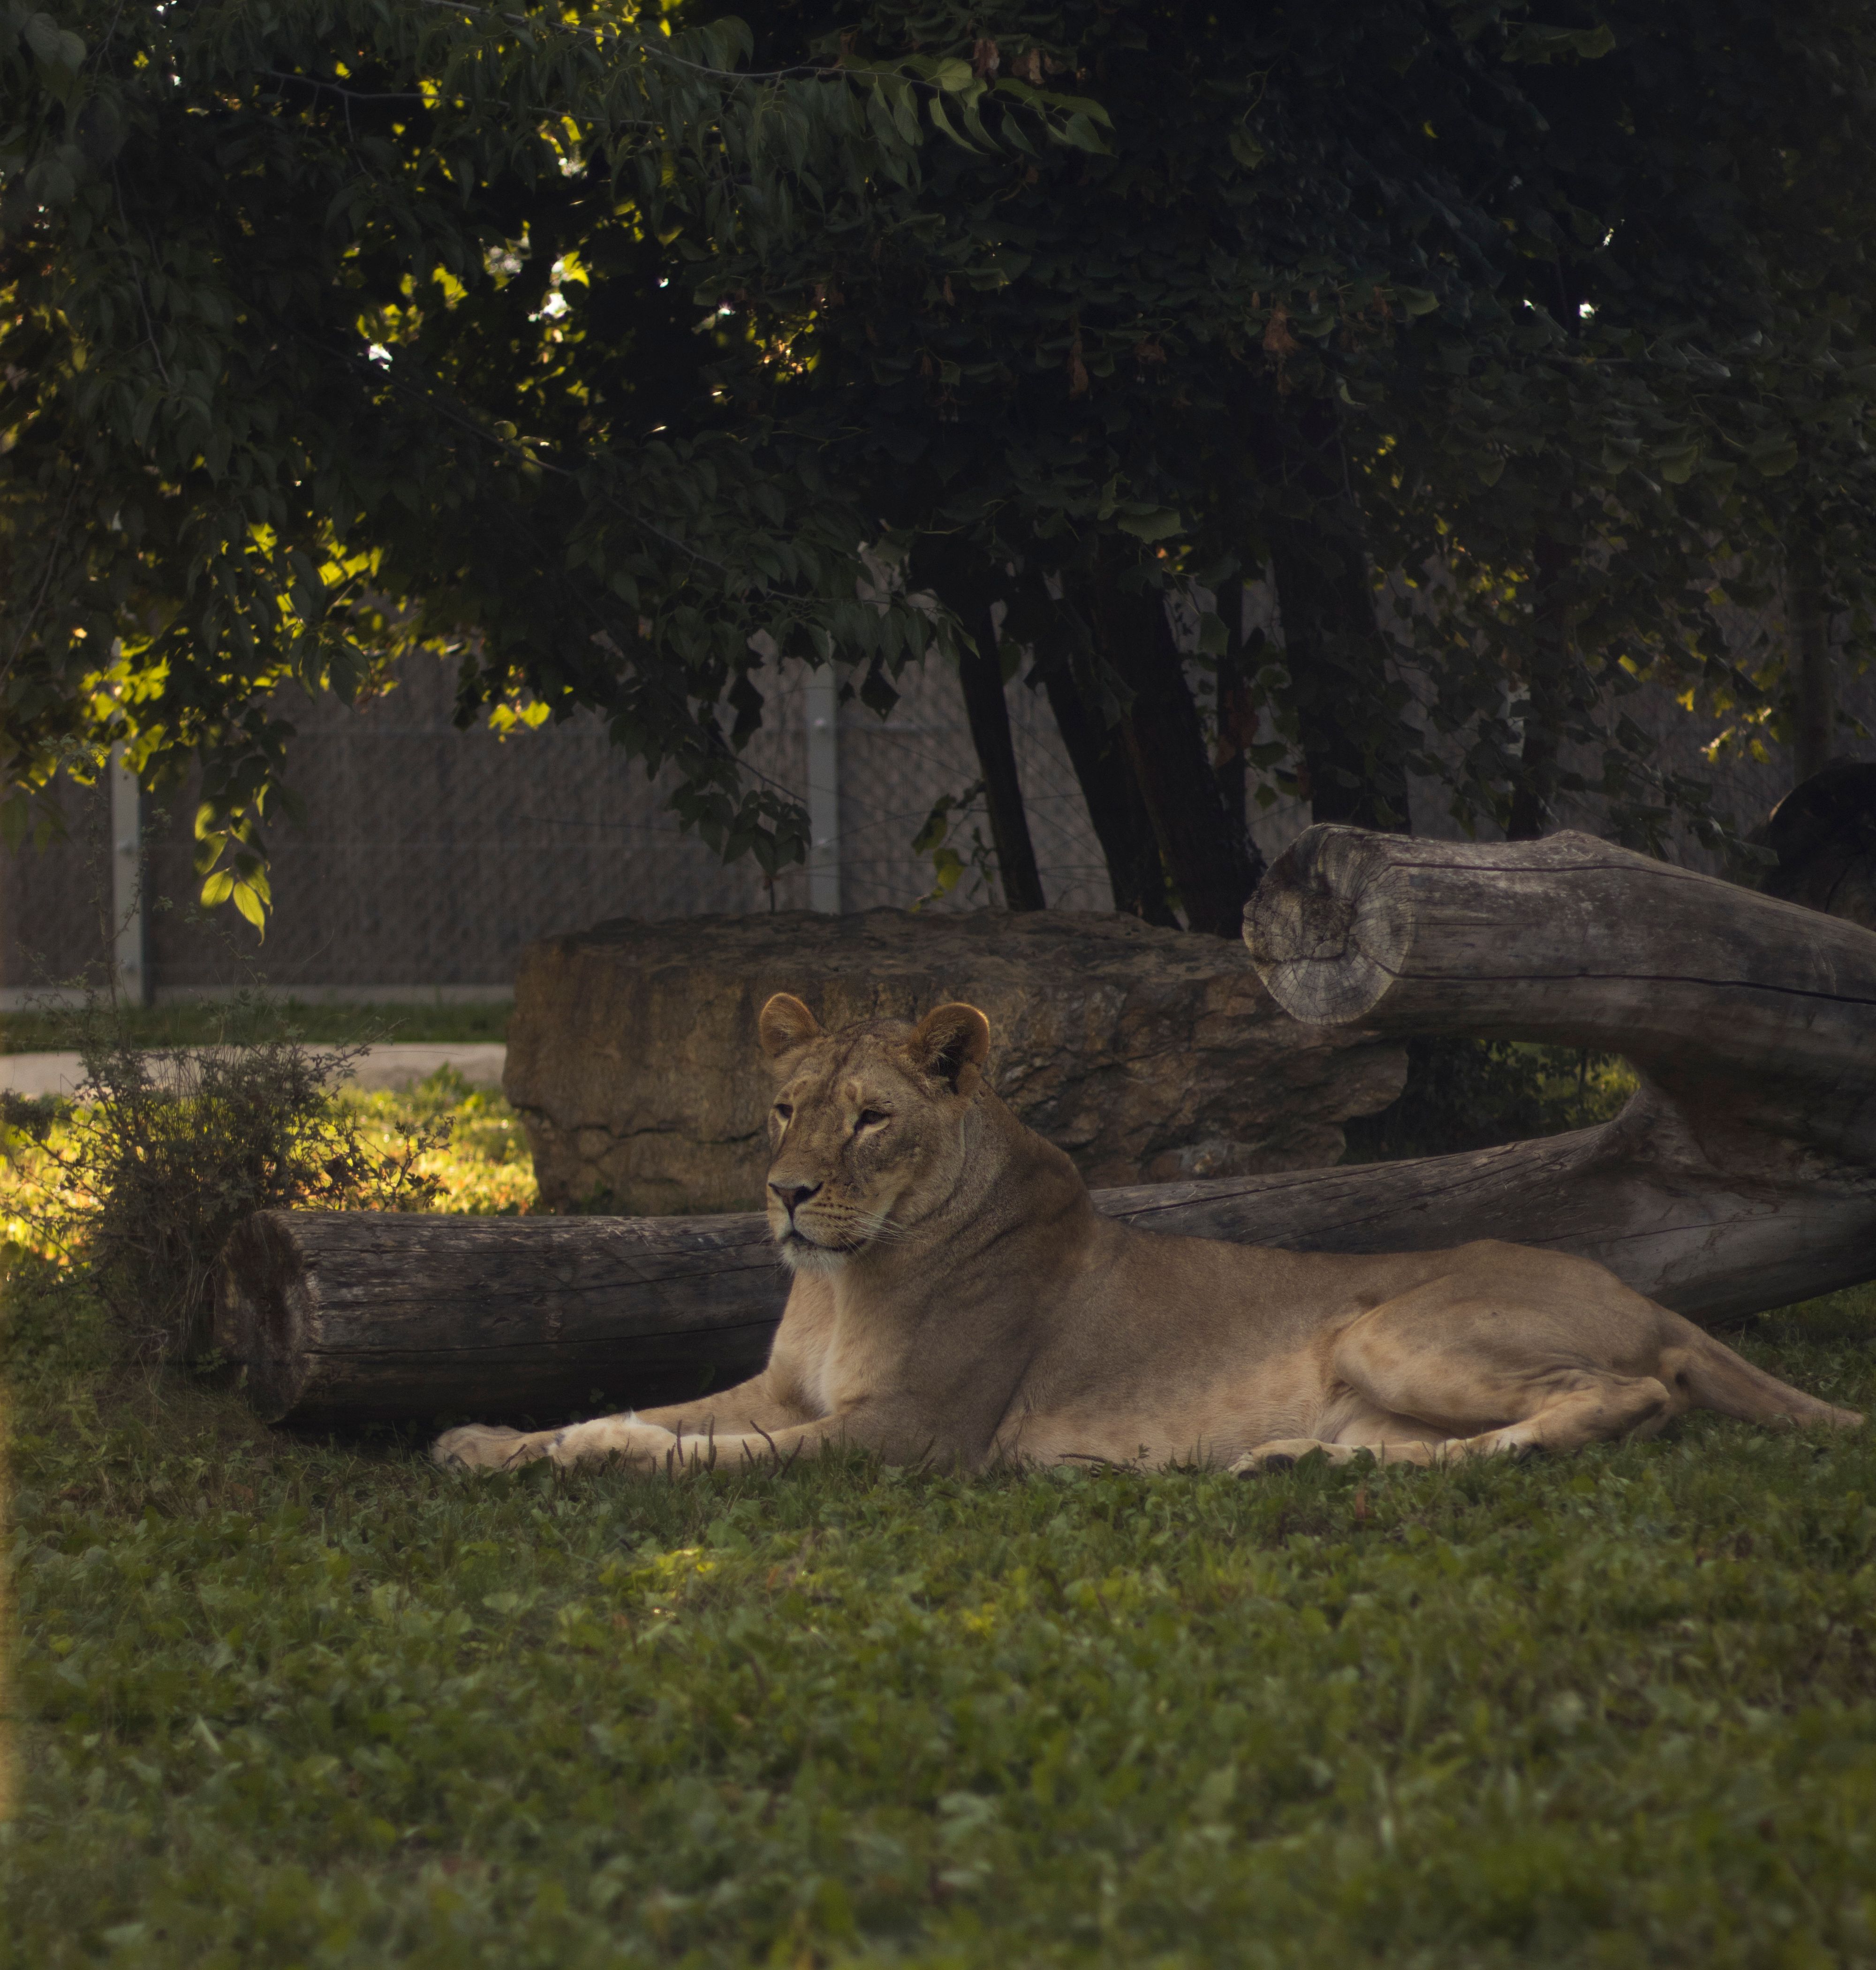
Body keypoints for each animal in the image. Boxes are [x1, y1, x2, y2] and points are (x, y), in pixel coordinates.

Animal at [434, 993, 1861, 1477]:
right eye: (784, 1110)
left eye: (871, 1120)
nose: (784, 1194)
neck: (843, 1280)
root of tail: (1642, 1293)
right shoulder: (786, 1387)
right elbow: (665, 1410)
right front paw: (488, 1442)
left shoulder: (912, 1437)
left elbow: (705, 1453)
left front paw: (591, 1455)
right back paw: (1295, 1465)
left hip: (1395, 1330)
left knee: (1626, 1399)